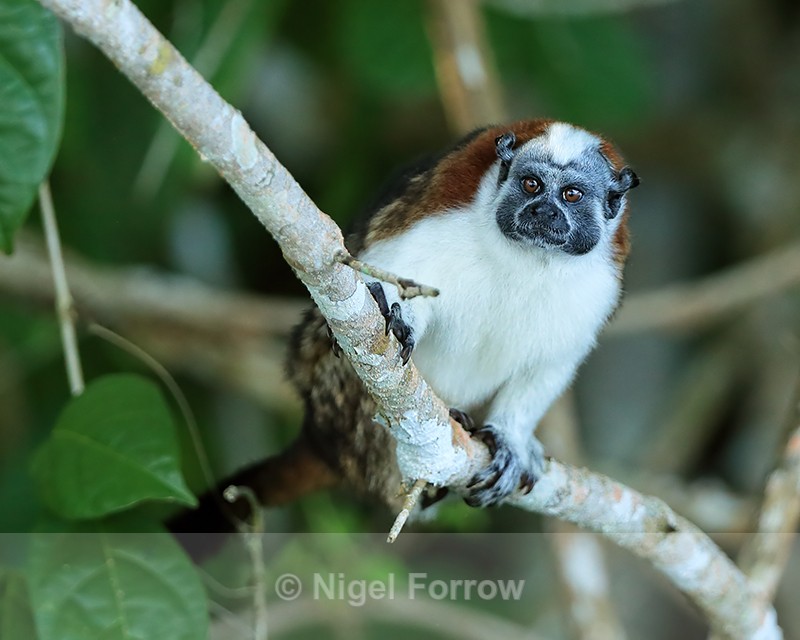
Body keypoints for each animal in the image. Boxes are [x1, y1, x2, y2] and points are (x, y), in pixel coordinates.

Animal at [169, 119, 639, 535]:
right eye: (531, 186)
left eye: (572, 194)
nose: (542, 211)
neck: (528, 256)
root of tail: (322, 436)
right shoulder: (439, 223)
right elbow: (390, 277)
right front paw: (396, 316)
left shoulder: (598, 288)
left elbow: (548, 367)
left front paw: (512, 440)